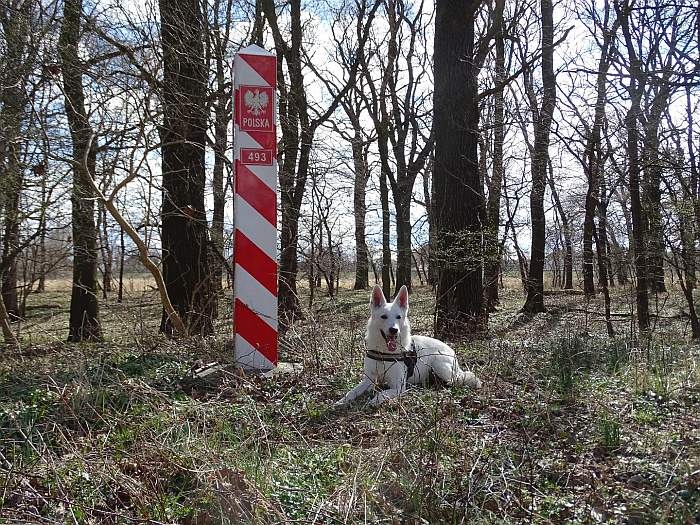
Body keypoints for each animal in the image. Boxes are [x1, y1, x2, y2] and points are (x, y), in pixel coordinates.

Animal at [334, 284, 482, 408]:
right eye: (384, 316)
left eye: (398, 317)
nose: (394, 330)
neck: (384, 353)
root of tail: (452, 352)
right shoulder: (368, 380)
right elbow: (352, 391)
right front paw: (342, 401)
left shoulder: (398, 386)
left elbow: (381, 393)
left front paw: (373, 401)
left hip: (439, 366)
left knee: (458, 379)